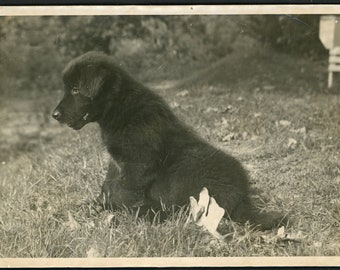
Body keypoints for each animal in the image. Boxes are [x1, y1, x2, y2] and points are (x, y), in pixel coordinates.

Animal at [51, 51, 284, 230]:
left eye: (75, 89)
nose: (54, 115)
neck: (120, 106)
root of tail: (242, 197)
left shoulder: (138, 164)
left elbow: (124, 191)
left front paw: (121, 211)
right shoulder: (117, 162)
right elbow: (109, 185)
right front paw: (94, 205)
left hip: (187, 170)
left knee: (179, 209)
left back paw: (152, 213)